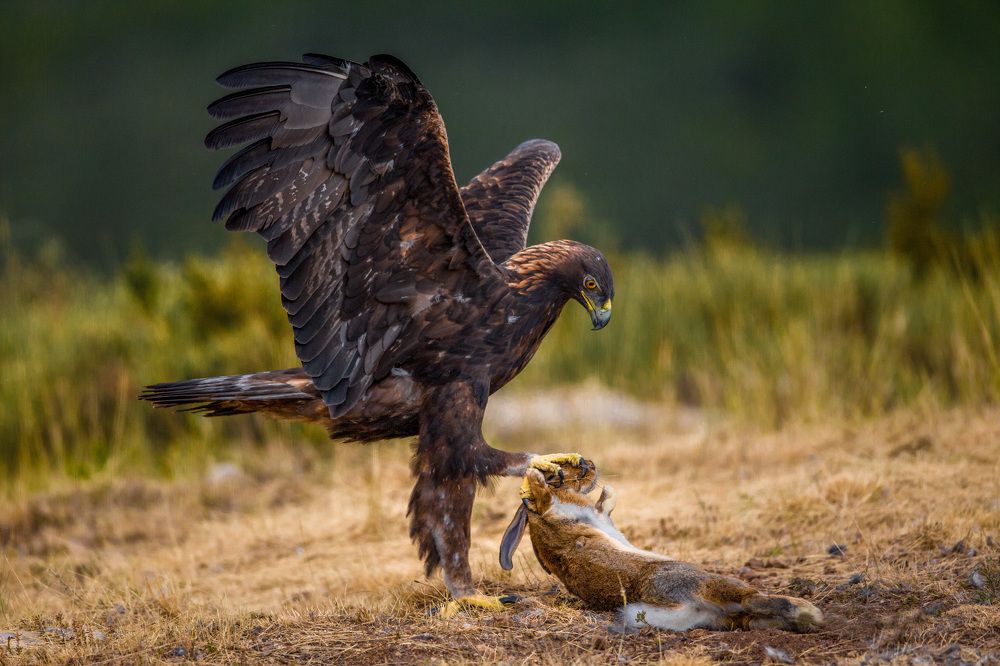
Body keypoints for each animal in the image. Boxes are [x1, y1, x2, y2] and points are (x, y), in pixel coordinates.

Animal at [500, 465, 823, 632]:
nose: (589, 469)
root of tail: (687, 606)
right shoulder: (566, 516)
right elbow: (553, 503)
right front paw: (536, 480)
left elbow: (603, 506)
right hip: (709, 582)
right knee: (752, 598)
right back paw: (809, 612)